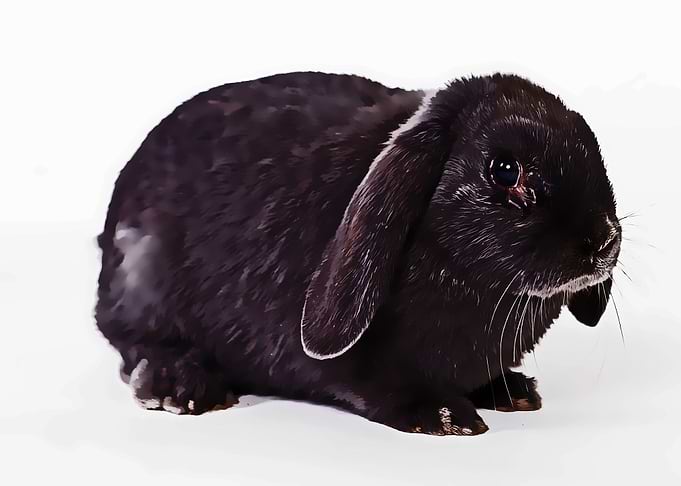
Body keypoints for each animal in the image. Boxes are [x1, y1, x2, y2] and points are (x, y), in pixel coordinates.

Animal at [95, 71, 620, 435]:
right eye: (506, 170)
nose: (604, 240)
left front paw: (511, 391)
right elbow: (375, 383)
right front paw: (445, 416)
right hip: (141, 283)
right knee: (133, 342)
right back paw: (180, 387)